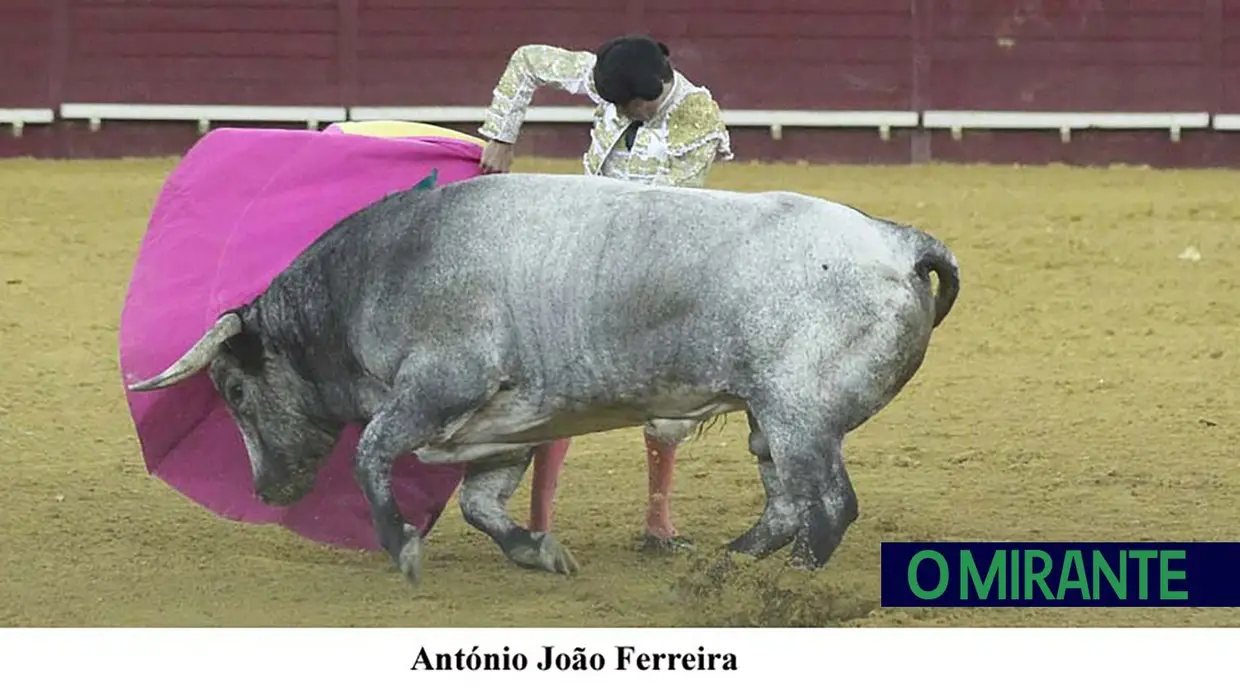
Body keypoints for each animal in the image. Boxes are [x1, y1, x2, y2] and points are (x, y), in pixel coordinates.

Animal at [125, 171, 957, 582]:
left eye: (234, 391)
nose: (267, 489)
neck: (373, 274)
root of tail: (899, 240)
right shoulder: (506, 425)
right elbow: (480, 504)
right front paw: (538, 550)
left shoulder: (439, 385)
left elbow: (371, 455)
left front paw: (401, 545)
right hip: (768, 418)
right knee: (786, 501)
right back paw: (730, 561)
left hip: (799, 414)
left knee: (829, 505)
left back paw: (787, 583)